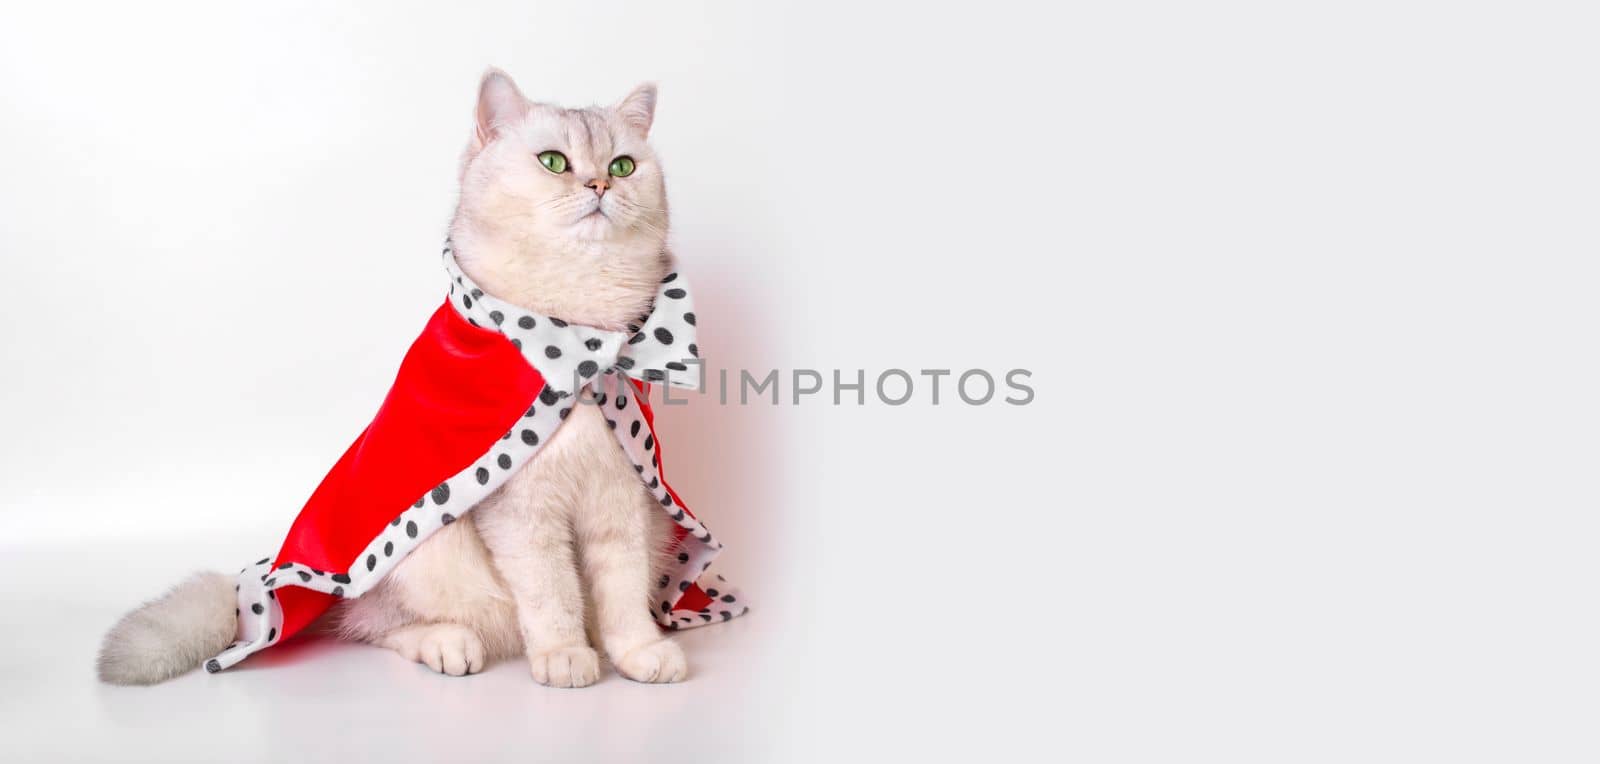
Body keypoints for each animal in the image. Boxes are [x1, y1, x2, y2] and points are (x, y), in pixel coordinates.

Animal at [100, 70, 688, 687]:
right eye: (554, 161)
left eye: (623, 165)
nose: (600, 183)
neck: (580, 339)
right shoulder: (523, 516)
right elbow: (552, 593)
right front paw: (565, 654)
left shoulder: (623, 502)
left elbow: (621, 589)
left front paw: (637, 651)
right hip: (427, 555)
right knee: (375, 624)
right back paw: (447, 644)